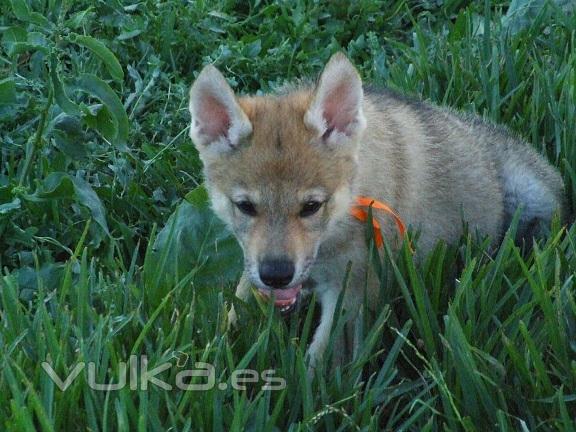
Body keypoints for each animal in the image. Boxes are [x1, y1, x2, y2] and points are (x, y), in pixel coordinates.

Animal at [187, 50, 564, 368]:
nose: (276, 274)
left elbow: (321, 365)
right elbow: (232, 317)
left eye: (311, 206)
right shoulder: (257, 271)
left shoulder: (352, 290)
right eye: (245, 206)